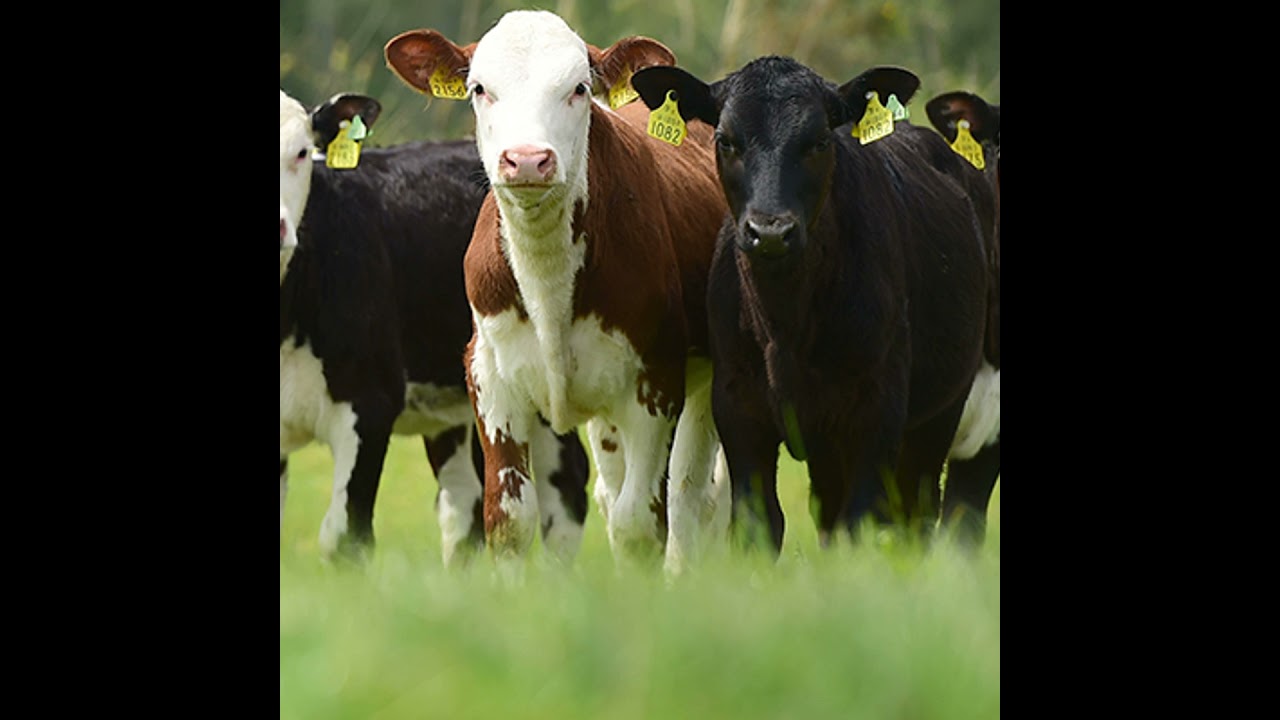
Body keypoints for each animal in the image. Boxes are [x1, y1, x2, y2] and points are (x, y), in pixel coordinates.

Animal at [384, 10, 731, 574]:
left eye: (578, 88)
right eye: (480, 88)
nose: (527, 160)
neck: (548, 280)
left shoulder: (656, 380)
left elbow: (640, 523)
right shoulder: (489, 375)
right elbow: (508, 518)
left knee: (691, 497)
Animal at [631, 57, 997, 552]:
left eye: (820, 140)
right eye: (725, 140)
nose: (769, 231)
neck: (786, 325)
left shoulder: (877, 412)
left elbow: (862, 521)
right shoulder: (738, 407)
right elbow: (760, 523)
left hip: (941, 412)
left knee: (921, 512)